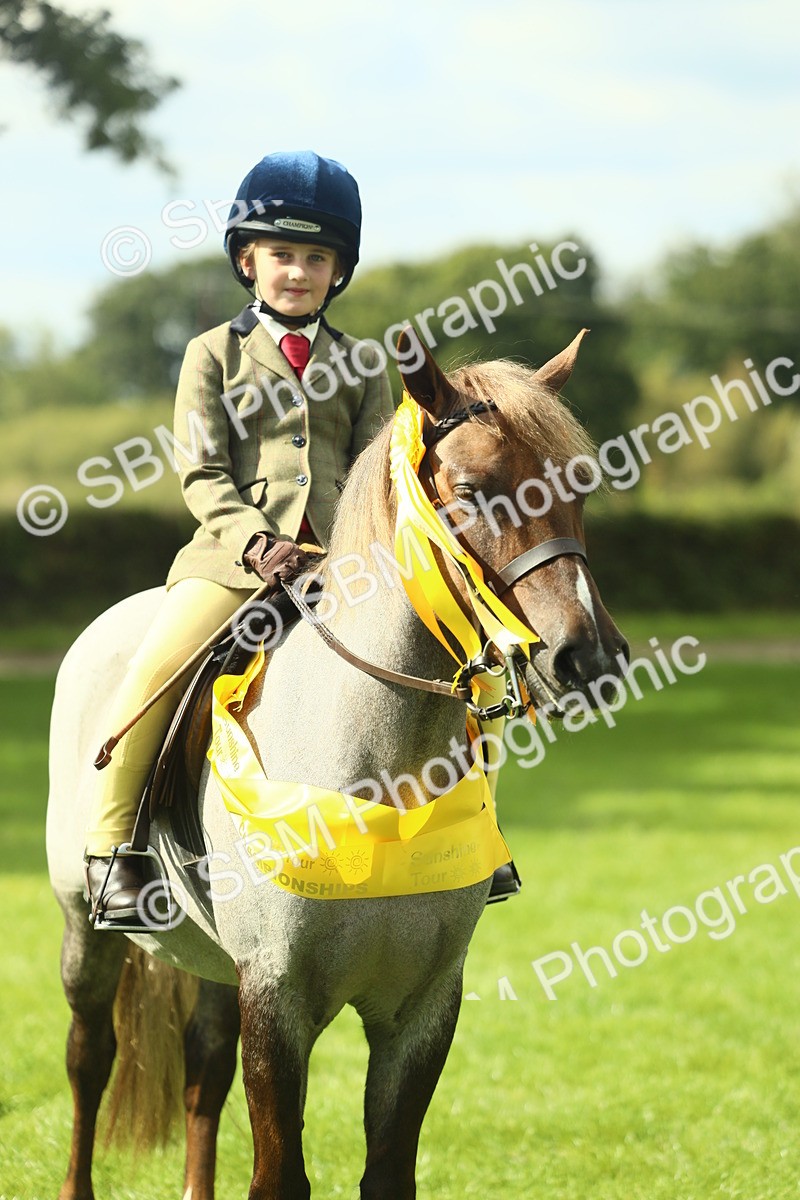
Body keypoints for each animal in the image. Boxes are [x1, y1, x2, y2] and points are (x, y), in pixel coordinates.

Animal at [46, 329, 628, 1200]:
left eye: (580, 487)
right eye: (470, 489)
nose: (587, 659)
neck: (381, 780)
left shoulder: (421, 1008)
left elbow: (386, 1171)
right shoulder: (277, 999)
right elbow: (278, 1174)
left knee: (201, 1071)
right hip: (87, 930)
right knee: (90, 1059)